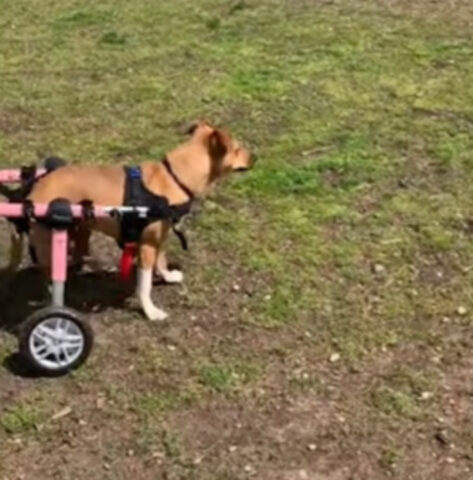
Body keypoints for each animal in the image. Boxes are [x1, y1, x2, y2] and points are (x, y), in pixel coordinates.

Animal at [18, 122, 253, 320]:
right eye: (237, 148)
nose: (255, 157)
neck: (174, 178)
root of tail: (33, 190)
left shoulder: (159, 238)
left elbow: (162, 260)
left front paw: (168, 276)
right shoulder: (146, 246)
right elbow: (145, 284)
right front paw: (150, 311)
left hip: (80, 228)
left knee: (77, 254)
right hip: (51, 240)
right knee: (48, 273)